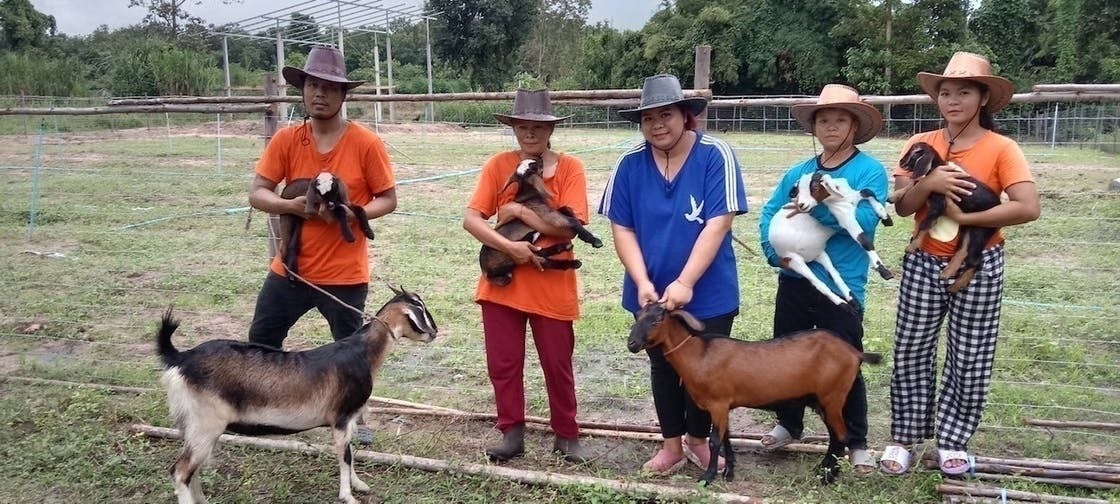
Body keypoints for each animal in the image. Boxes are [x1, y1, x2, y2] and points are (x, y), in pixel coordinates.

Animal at [155, 285, 438, 504]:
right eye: (420, 309)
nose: (435, 333)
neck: (362, 353)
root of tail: (182, 358)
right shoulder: (341, 417)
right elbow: (345, 455)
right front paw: (348, 496)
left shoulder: (348, 420)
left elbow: (350, 452)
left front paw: (359, 484)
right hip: (205, 423)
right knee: (180, 471)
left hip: (199, 428)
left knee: (193, 469)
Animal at [479, 157, 604, 286]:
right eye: (534, 166)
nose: (540, 158)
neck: (530, 194)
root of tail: (486, 272)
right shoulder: (547, 214)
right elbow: (571, 220)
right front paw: (593, 239)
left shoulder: (551, 210)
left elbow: (567, 209)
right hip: (514, 254)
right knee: (542, 260)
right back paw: (570, 259)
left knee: (539, 254)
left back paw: (563, 247)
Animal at [627, 303, 881, 485]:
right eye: (637, 316)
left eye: (658, 319)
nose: (632, 344)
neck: (698, 355)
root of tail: (855, 353)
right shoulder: (724, 407)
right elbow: (726, 438)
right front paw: (729, 472)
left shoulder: (718, 404)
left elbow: (715, 441)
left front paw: (708, 478)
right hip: (822, 400)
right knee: (835, 436)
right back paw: (822, 469)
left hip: (833, 396)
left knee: (842, 436)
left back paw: (829, 477)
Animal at [767, 172, 893, 313]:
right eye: (798, 191)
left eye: (815, 187)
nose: (802, 205)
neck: (838, 198)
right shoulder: (845, 219)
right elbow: (864, 240)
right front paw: (884, 271)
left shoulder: (851, 201)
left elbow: (867, 191)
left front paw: (886, 218)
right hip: (793, 260)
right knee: (819, 284)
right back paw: (844, 305)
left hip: (821, 254)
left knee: (834, 274)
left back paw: (853, 302)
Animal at [896, 142, 1001, 292]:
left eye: (915, 152)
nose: (901, 162)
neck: (936, 168)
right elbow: (914, 184)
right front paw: (894, 196)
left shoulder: (938, 206)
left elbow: (925, 224)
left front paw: (912, 246)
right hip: (968, 228)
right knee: (963, 251)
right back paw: (947, 273)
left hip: (980, 231)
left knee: (975, 260)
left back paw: (956, 285)